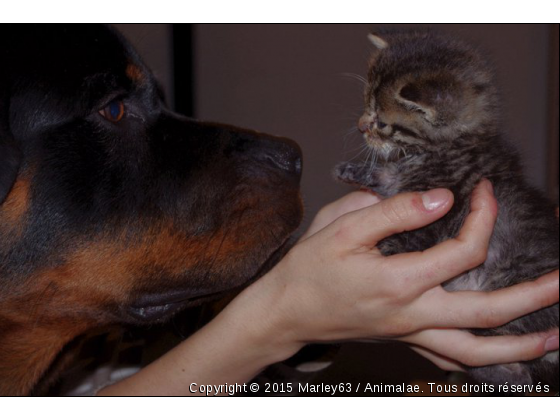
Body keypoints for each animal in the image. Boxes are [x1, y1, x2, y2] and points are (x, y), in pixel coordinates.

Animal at [334, 31, 556, 388]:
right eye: (365, 104)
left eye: (381, 122)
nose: (359, 126)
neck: (454, 146)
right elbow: (387, 177)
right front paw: (350, 171)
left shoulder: (441, 211)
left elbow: (406, 239)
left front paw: (384, 247)